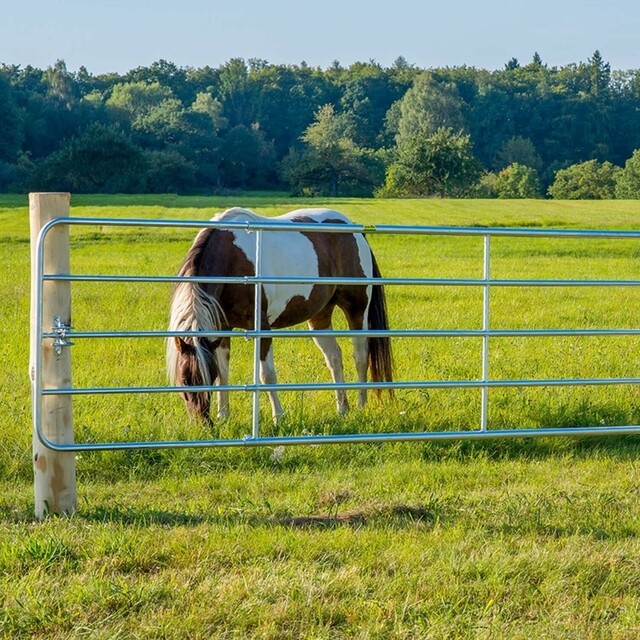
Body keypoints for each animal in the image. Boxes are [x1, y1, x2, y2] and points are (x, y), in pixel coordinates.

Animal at [168, 208, 392, 422]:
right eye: (185, 380)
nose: (203, 423)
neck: (231, 258)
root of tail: (354, 229)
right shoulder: (222, 328)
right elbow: (224, 371)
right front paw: (223, 416)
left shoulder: (261, 327)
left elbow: (266, 375)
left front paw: (279, 417)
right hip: (320, 316)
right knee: (334, 357)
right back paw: (342, 408)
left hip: (357, 309)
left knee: (361, 355)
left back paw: (361, 405)